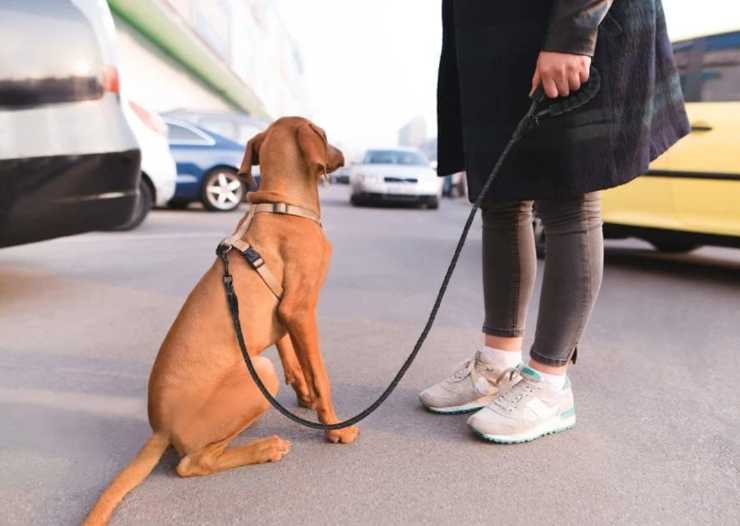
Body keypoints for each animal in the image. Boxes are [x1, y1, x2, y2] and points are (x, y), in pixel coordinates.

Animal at [82, 117, 356, 524]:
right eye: (322, 134)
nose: (344, 156)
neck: (282, 206)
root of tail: (161, 428)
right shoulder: (300, 309)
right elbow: (321, 374)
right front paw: (335, 428)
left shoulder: (284, 313)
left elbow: (293, 355)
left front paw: (303, 393)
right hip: (258, 374)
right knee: (193, 463)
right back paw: (263, 449)